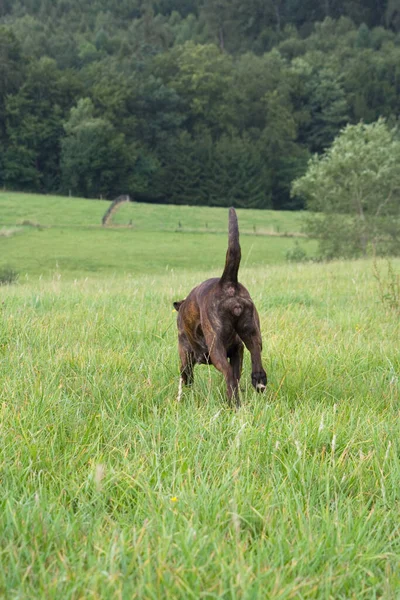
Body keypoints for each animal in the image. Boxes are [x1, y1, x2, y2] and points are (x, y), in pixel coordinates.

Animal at [173, 207, 268, 408]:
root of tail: (227, 282)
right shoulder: (238, 348)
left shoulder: (184, 352)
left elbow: (185, 377)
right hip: (251, 332)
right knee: (255, 359)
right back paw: (257, 382)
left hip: (216, 347)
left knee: (229, 374)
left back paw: (234, 404)